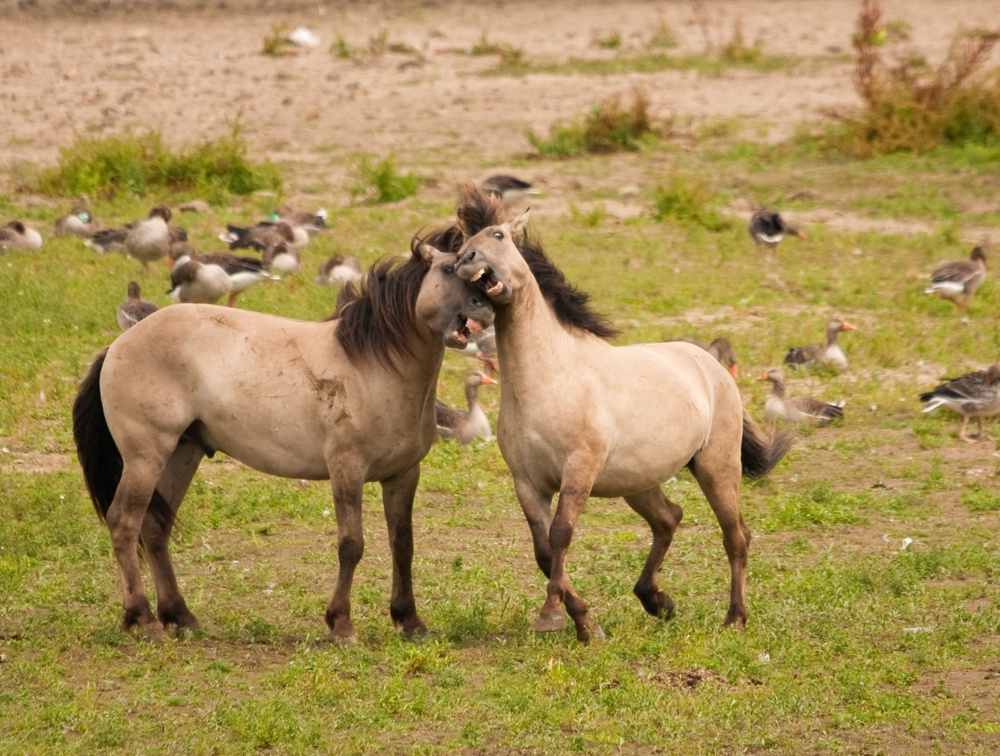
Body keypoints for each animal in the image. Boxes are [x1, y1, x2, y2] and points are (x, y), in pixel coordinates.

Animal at [70, 239, 492, 640]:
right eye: (449, 269)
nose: (485, 308)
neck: (373, 366)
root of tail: (118, 345)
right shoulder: (347, 469)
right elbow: (351, 544)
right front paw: (341, 624)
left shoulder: (403, 475)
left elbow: (402, 545)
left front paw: (409, 620)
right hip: (145, 457)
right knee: (124, 523)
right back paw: (144, 620)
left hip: (180, 455)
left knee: (155, 529)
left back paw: (180, 616)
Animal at [446, 186, 796, 640]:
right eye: (462, 243)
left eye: (499, 235)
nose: (466, 260)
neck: (547, 379)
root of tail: (711, 365)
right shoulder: (527, 483)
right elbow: (543, 551)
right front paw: (585, 623)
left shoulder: (579, 471)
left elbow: (560, 537)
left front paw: (552, 616)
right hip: (639, 481)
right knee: (669, 519)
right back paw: (657, 601)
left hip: (716, 468)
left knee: (736, 536)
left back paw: (734, 617)